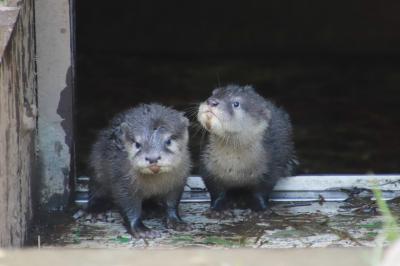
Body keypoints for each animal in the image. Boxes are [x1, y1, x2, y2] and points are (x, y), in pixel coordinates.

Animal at [89, 103, 192, 238]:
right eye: (137, 144)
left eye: (168, 141)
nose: (153, 158)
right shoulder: (123, 181)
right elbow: (129, 206)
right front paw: (141, 230)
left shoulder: (178, 180)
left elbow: (172, 202)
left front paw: (177, 222)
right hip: (97, 166)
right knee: (96, 190)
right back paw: (96, 211)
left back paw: (152, 209)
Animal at [197, 84, 296, 212]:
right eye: (213, 93)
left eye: (236, 103)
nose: (212, 101)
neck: (235, 168)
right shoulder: (208, 167)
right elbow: (215, 191)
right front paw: (216, 207)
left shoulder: (270, 168)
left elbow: (262, 191)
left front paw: (260, 209)